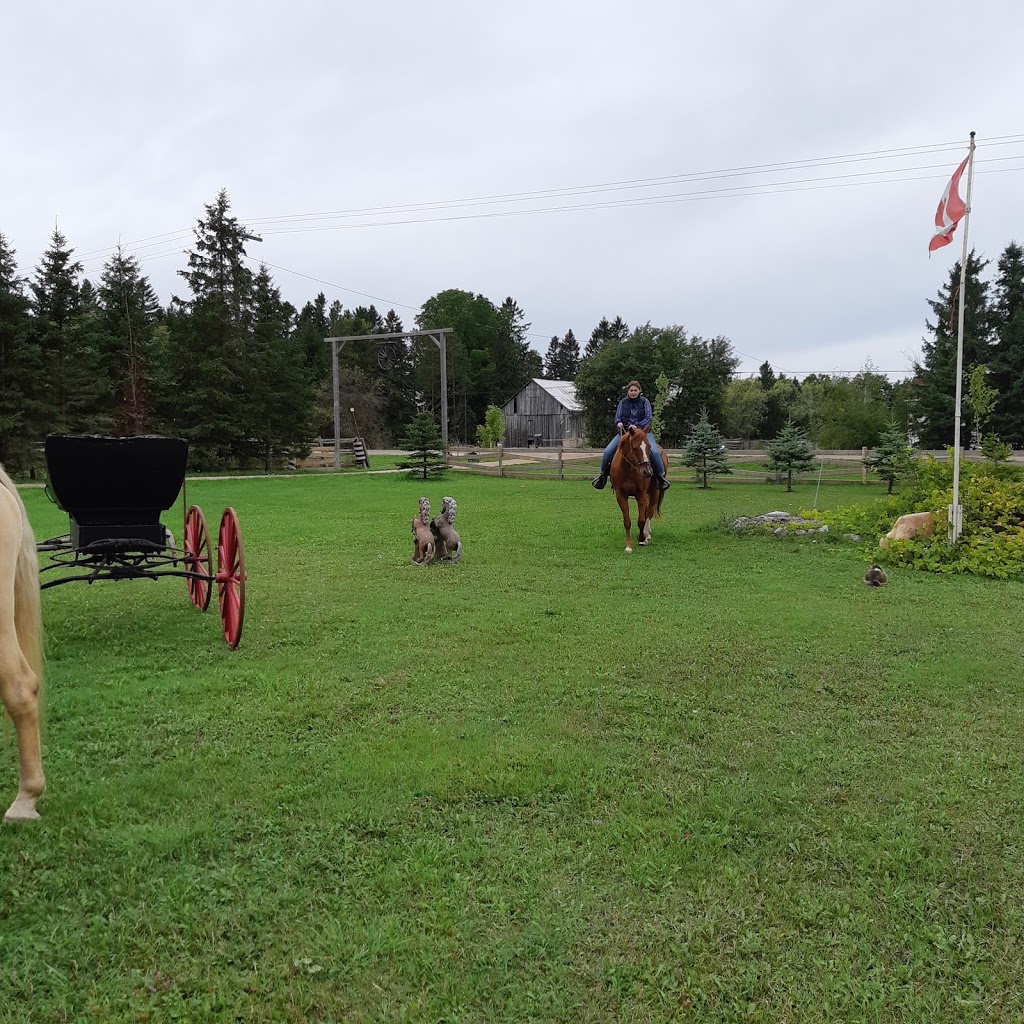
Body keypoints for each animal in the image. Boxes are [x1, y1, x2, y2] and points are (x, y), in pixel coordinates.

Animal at [610, 423, 667, 552]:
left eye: (649, 447)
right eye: (635, 447)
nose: (647, 472)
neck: (628, 470)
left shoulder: (641, 494)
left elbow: (641, 520)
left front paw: (642, 538)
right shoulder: (621, 495)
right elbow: (627, 521)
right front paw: (628, 547)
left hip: (655, 492)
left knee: (649, 512)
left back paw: (646, 536)